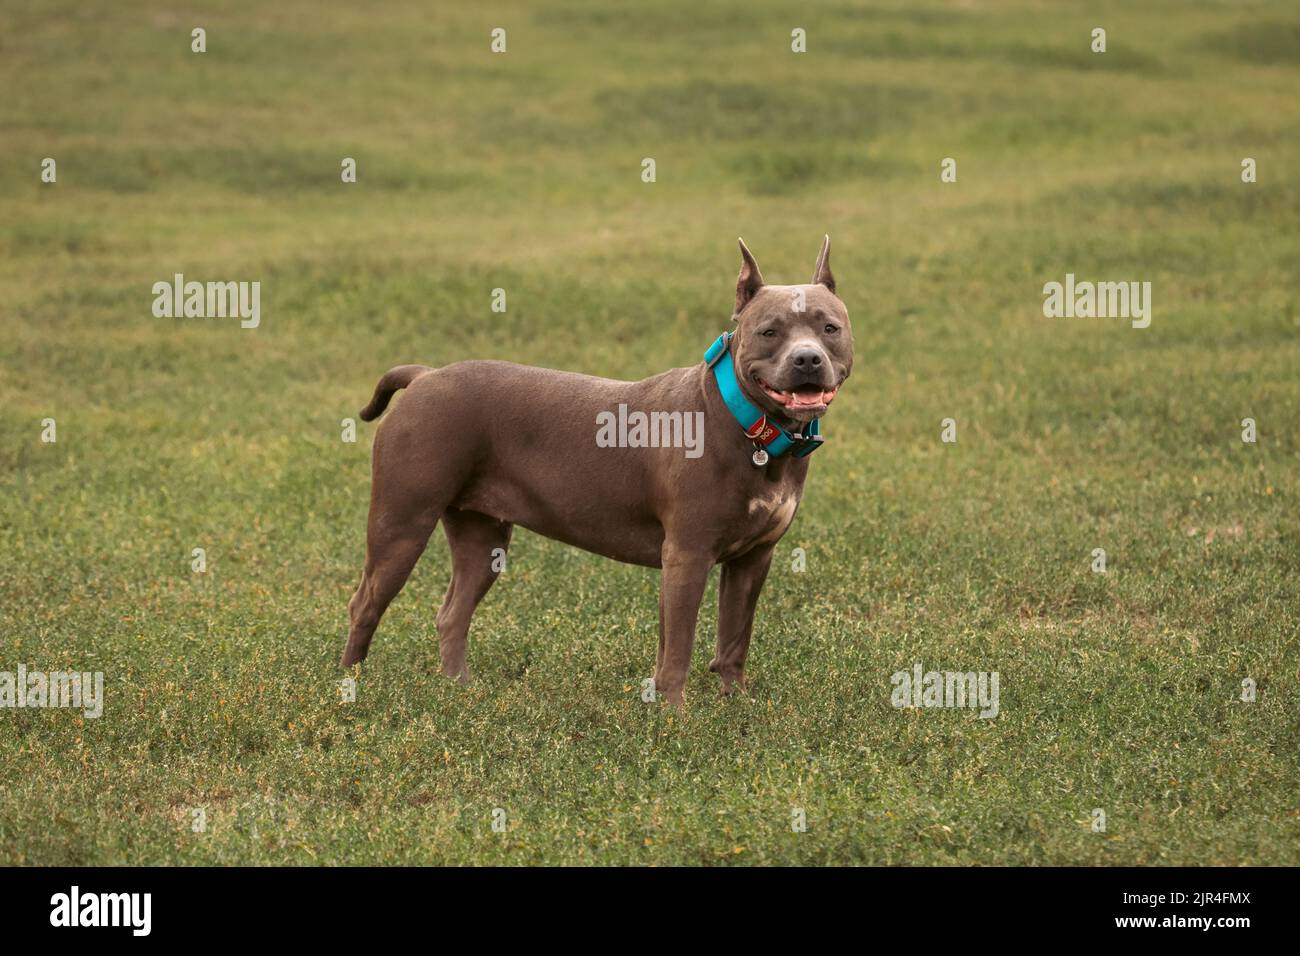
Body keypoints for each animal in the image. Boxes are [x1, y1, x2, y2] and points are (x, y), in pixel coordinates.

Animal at [343, 238, 852, 702]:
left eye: (830, 328)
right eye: (769, 332)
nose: (807, 359)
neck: (748, 425)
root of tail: (425, 376)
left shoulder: (752, 560)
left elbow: (732, 641)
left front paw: (736, 707)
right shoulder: (686, 556)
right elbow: (678, 649)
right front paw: (676, 719)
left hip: (482, 539)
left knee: (452, 613)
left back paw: (458, 690)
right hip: (401, 524)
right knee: (364, 603)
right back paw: (349, 685)